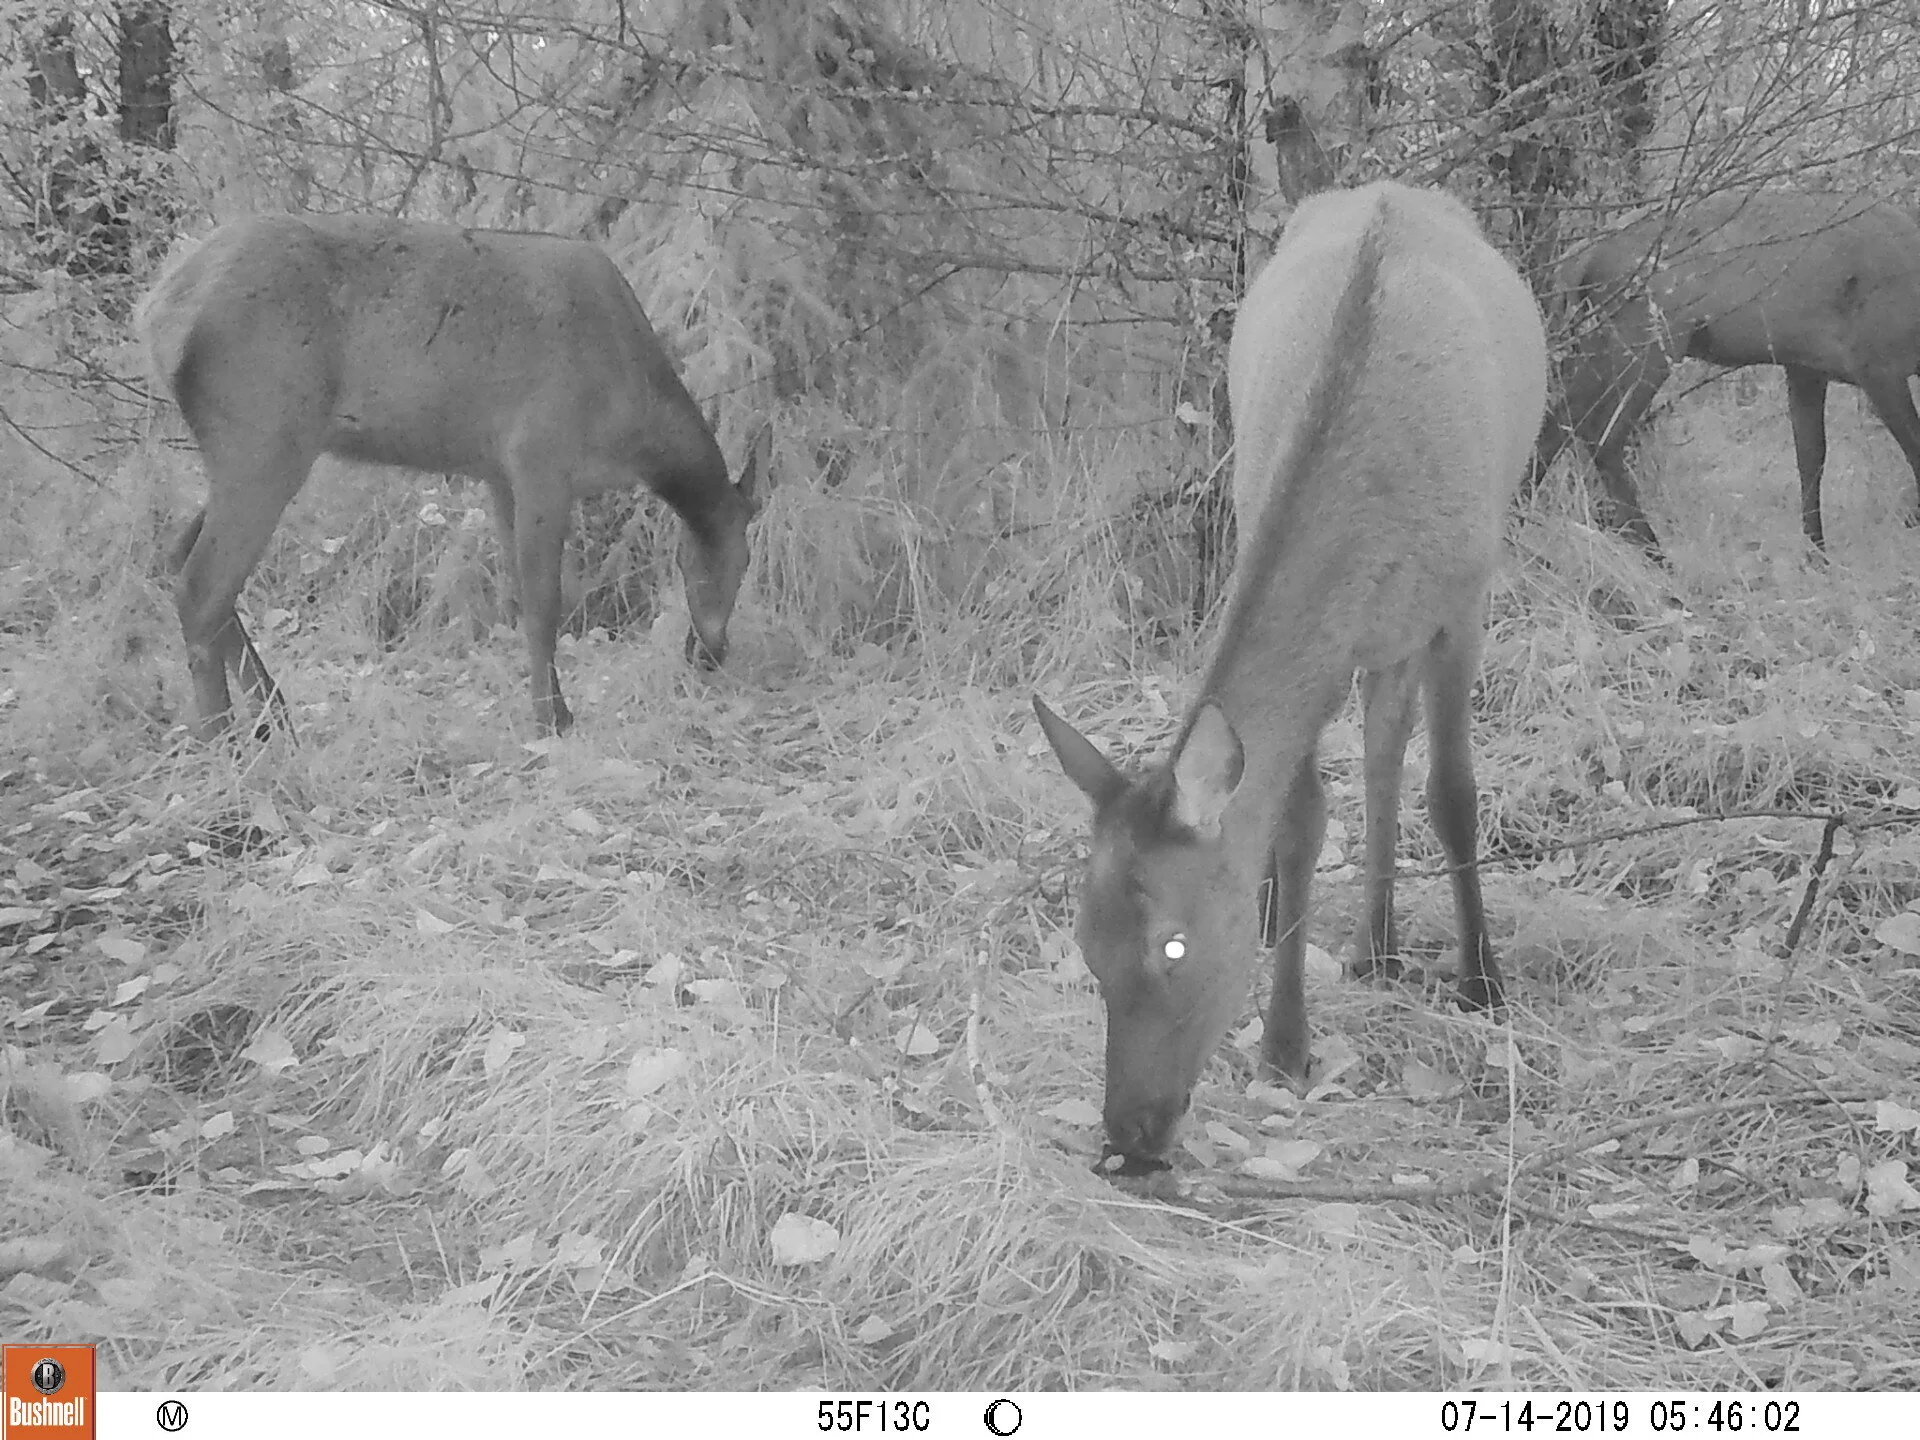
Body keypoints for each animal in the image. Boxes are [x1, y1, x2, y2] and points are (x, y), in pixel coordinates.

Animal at [137, 213, 765, 740]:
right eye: (736, 561)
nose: (710, 652)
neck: (631, 421)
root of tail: (159, 315)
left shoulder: (499, 474)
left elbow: (518, 594)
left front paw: (552, 709)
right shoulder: (542, 454)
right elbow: (544, 601)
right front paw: (550, 720)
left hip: (246, 450)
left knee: (180, 553)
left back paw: (276, 718)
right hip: (264, 436)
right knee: (201, 585)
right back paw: (223, 740)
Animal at [1033, 181, 1548, 1170]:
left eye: (1175, 947)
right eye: (1084, 946)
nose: (1129, 1136)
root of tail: (1393, 190)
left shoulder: (1465, 596)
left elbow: (1454, 793)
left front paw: (1485, 982)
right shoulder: (1326, 633)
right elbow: (1300, 818)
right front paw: (1285, 1042)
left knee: (1394, 753)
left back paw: (1387, 947)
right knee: (1377, 752)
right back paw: (1362, 941)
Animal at [1534, 189, 1920, 558]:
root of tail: (1573, 263)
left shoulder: (1806, 366)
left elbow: (1811, 457)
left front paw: (1816, 555)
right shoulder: (1876, 362)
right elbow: (1914, 448)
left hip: (1604, 340)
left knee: (1560, 421)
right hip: (1650, 337)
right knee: (1603, 436)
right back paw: (1656, 552)